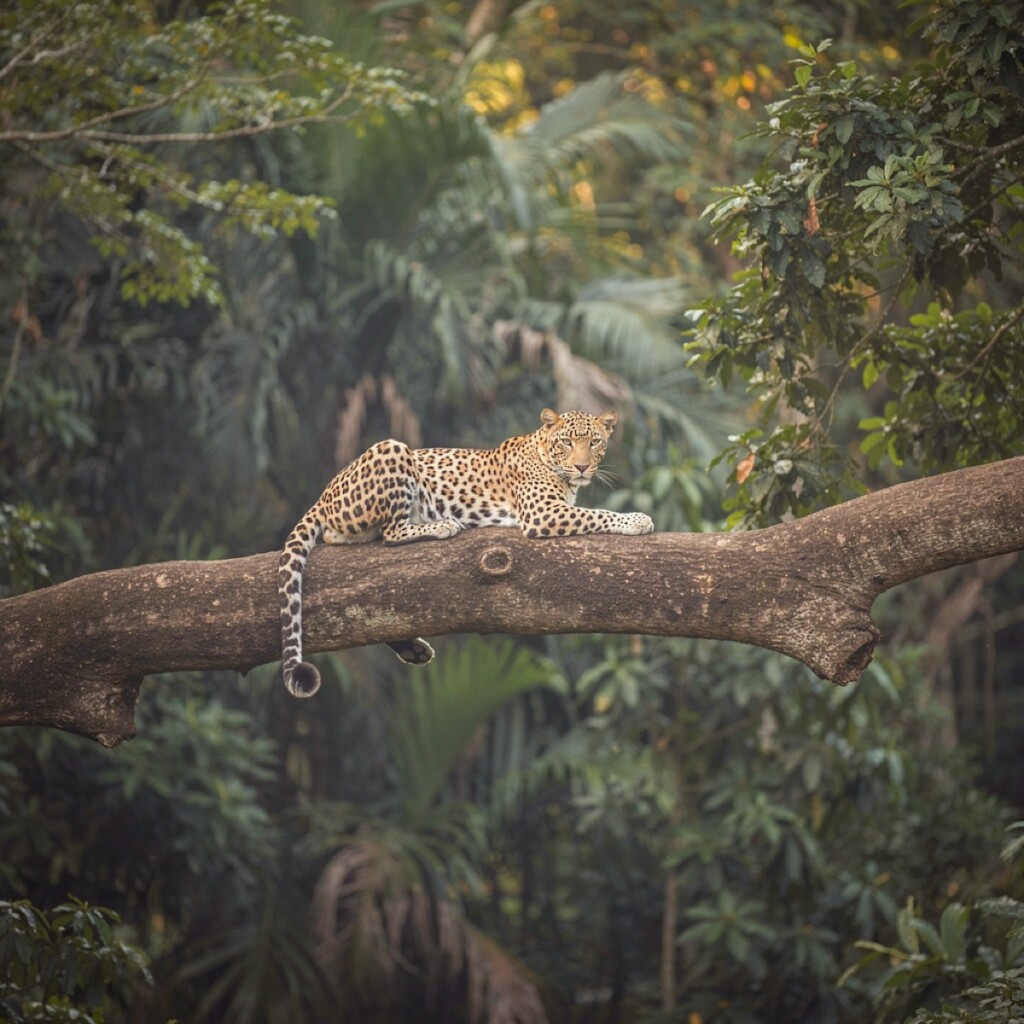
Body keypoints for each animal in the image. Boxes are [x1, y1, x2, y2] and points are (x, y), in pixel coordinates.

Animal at [278, 408, 654, 697]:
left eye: (594, 442)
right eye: (567, 442)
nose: (582, 467)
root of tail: (325, 493)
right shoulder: (543, 513)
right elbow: (599, 514)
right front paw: (638, 519)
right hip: (393, 449)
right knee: (391, 532)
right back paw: (442, 525)